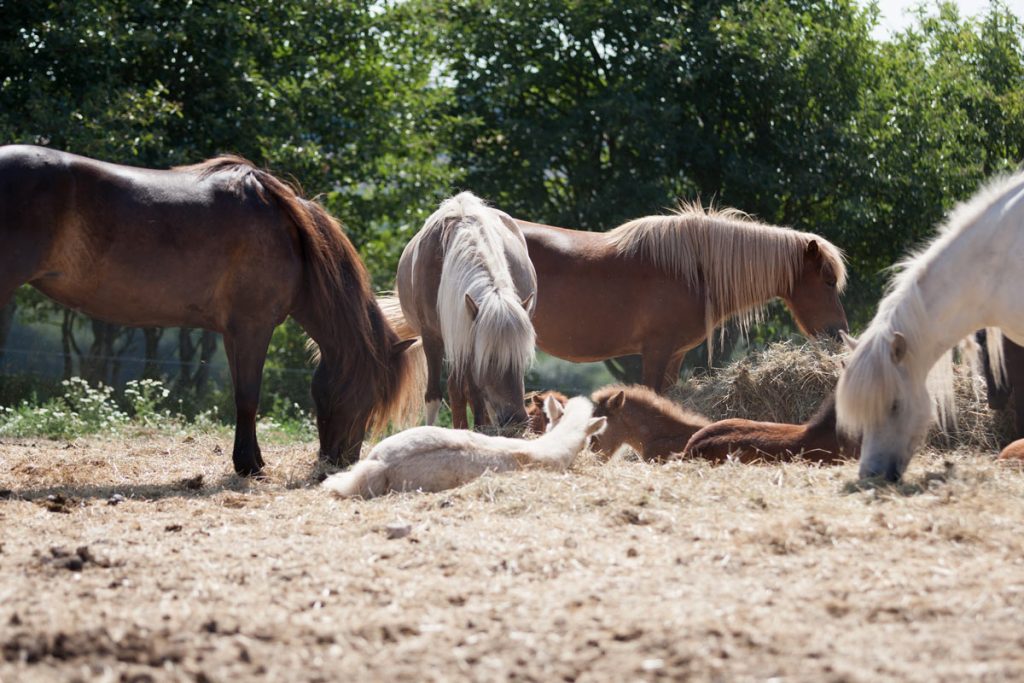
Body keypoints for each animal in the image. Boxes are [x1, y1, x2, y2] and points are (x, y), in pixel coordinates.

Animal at [0, 144, 419, 475]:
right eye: (372, 393)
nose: (341, 461)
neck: (290, 235)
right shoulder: (252, 328)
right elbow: (248, 397)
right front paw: (249, 465)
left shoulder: (235, 333)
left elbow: (242, 396)